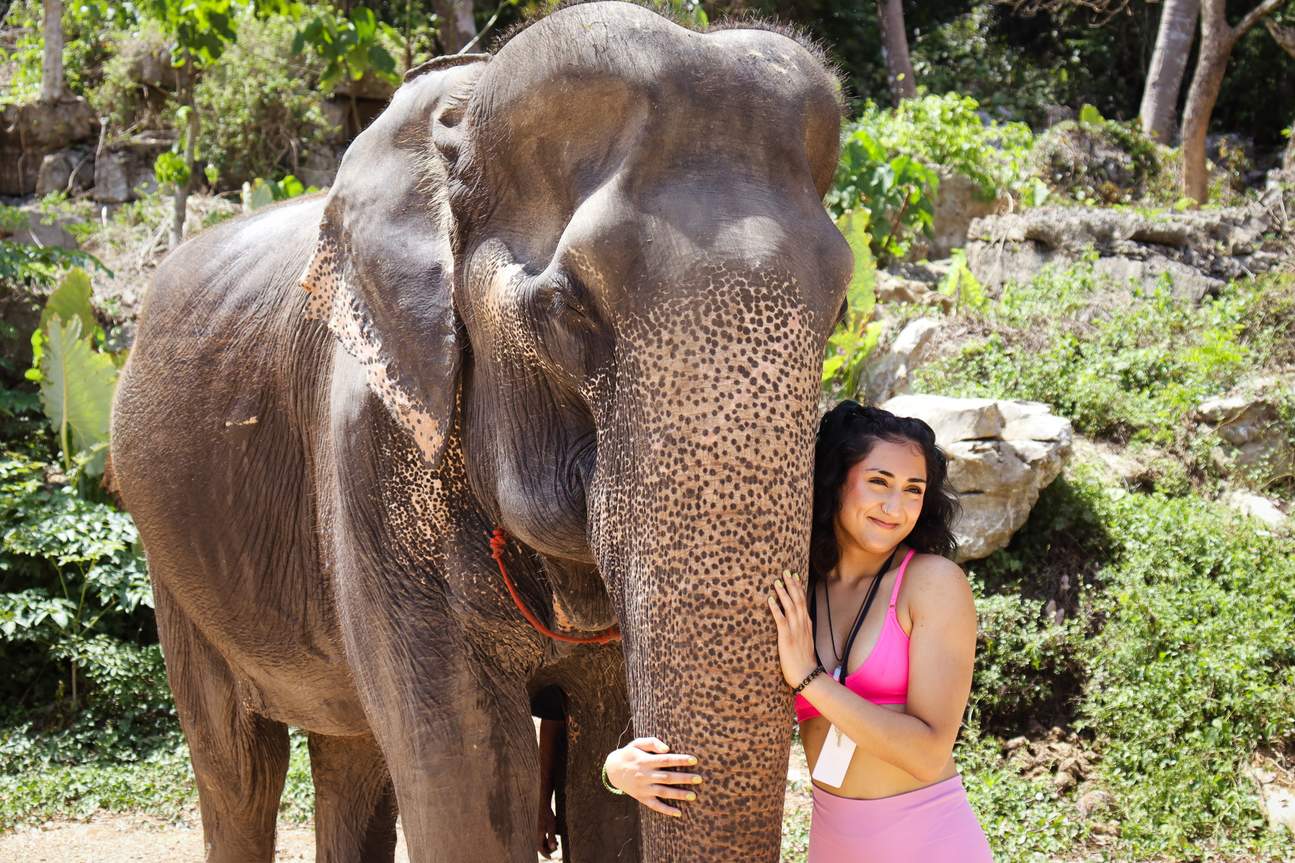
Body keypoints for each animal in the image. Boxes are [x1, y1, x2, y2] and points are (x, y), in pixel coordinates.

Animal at [108, 2, 853, 861]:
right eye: (566, 308)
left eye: (838, 307)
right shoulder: (370, 454)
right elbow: (467, 783)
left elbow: (599, 789)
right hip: (171, 560)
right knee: (237, 765)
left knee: (350, 753)